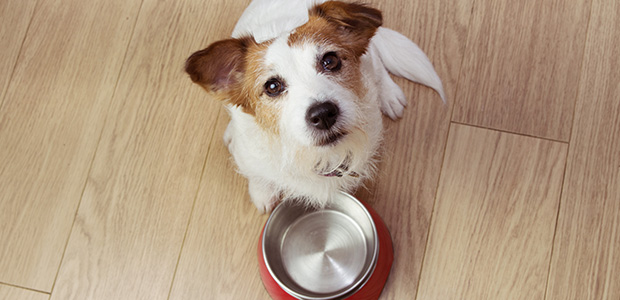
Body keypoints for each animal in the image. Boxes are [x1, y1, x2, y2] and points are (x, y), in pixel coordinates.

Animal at [185, 0, 446, 212]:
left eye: (330, 60)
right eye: (272, 86)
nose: (323, 114)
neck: (312, 156)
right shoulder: (250, 155)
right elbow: (257, 174)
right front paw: (262, 193)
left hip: (370, 57)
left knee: (377, 61)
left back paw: (390, 94)